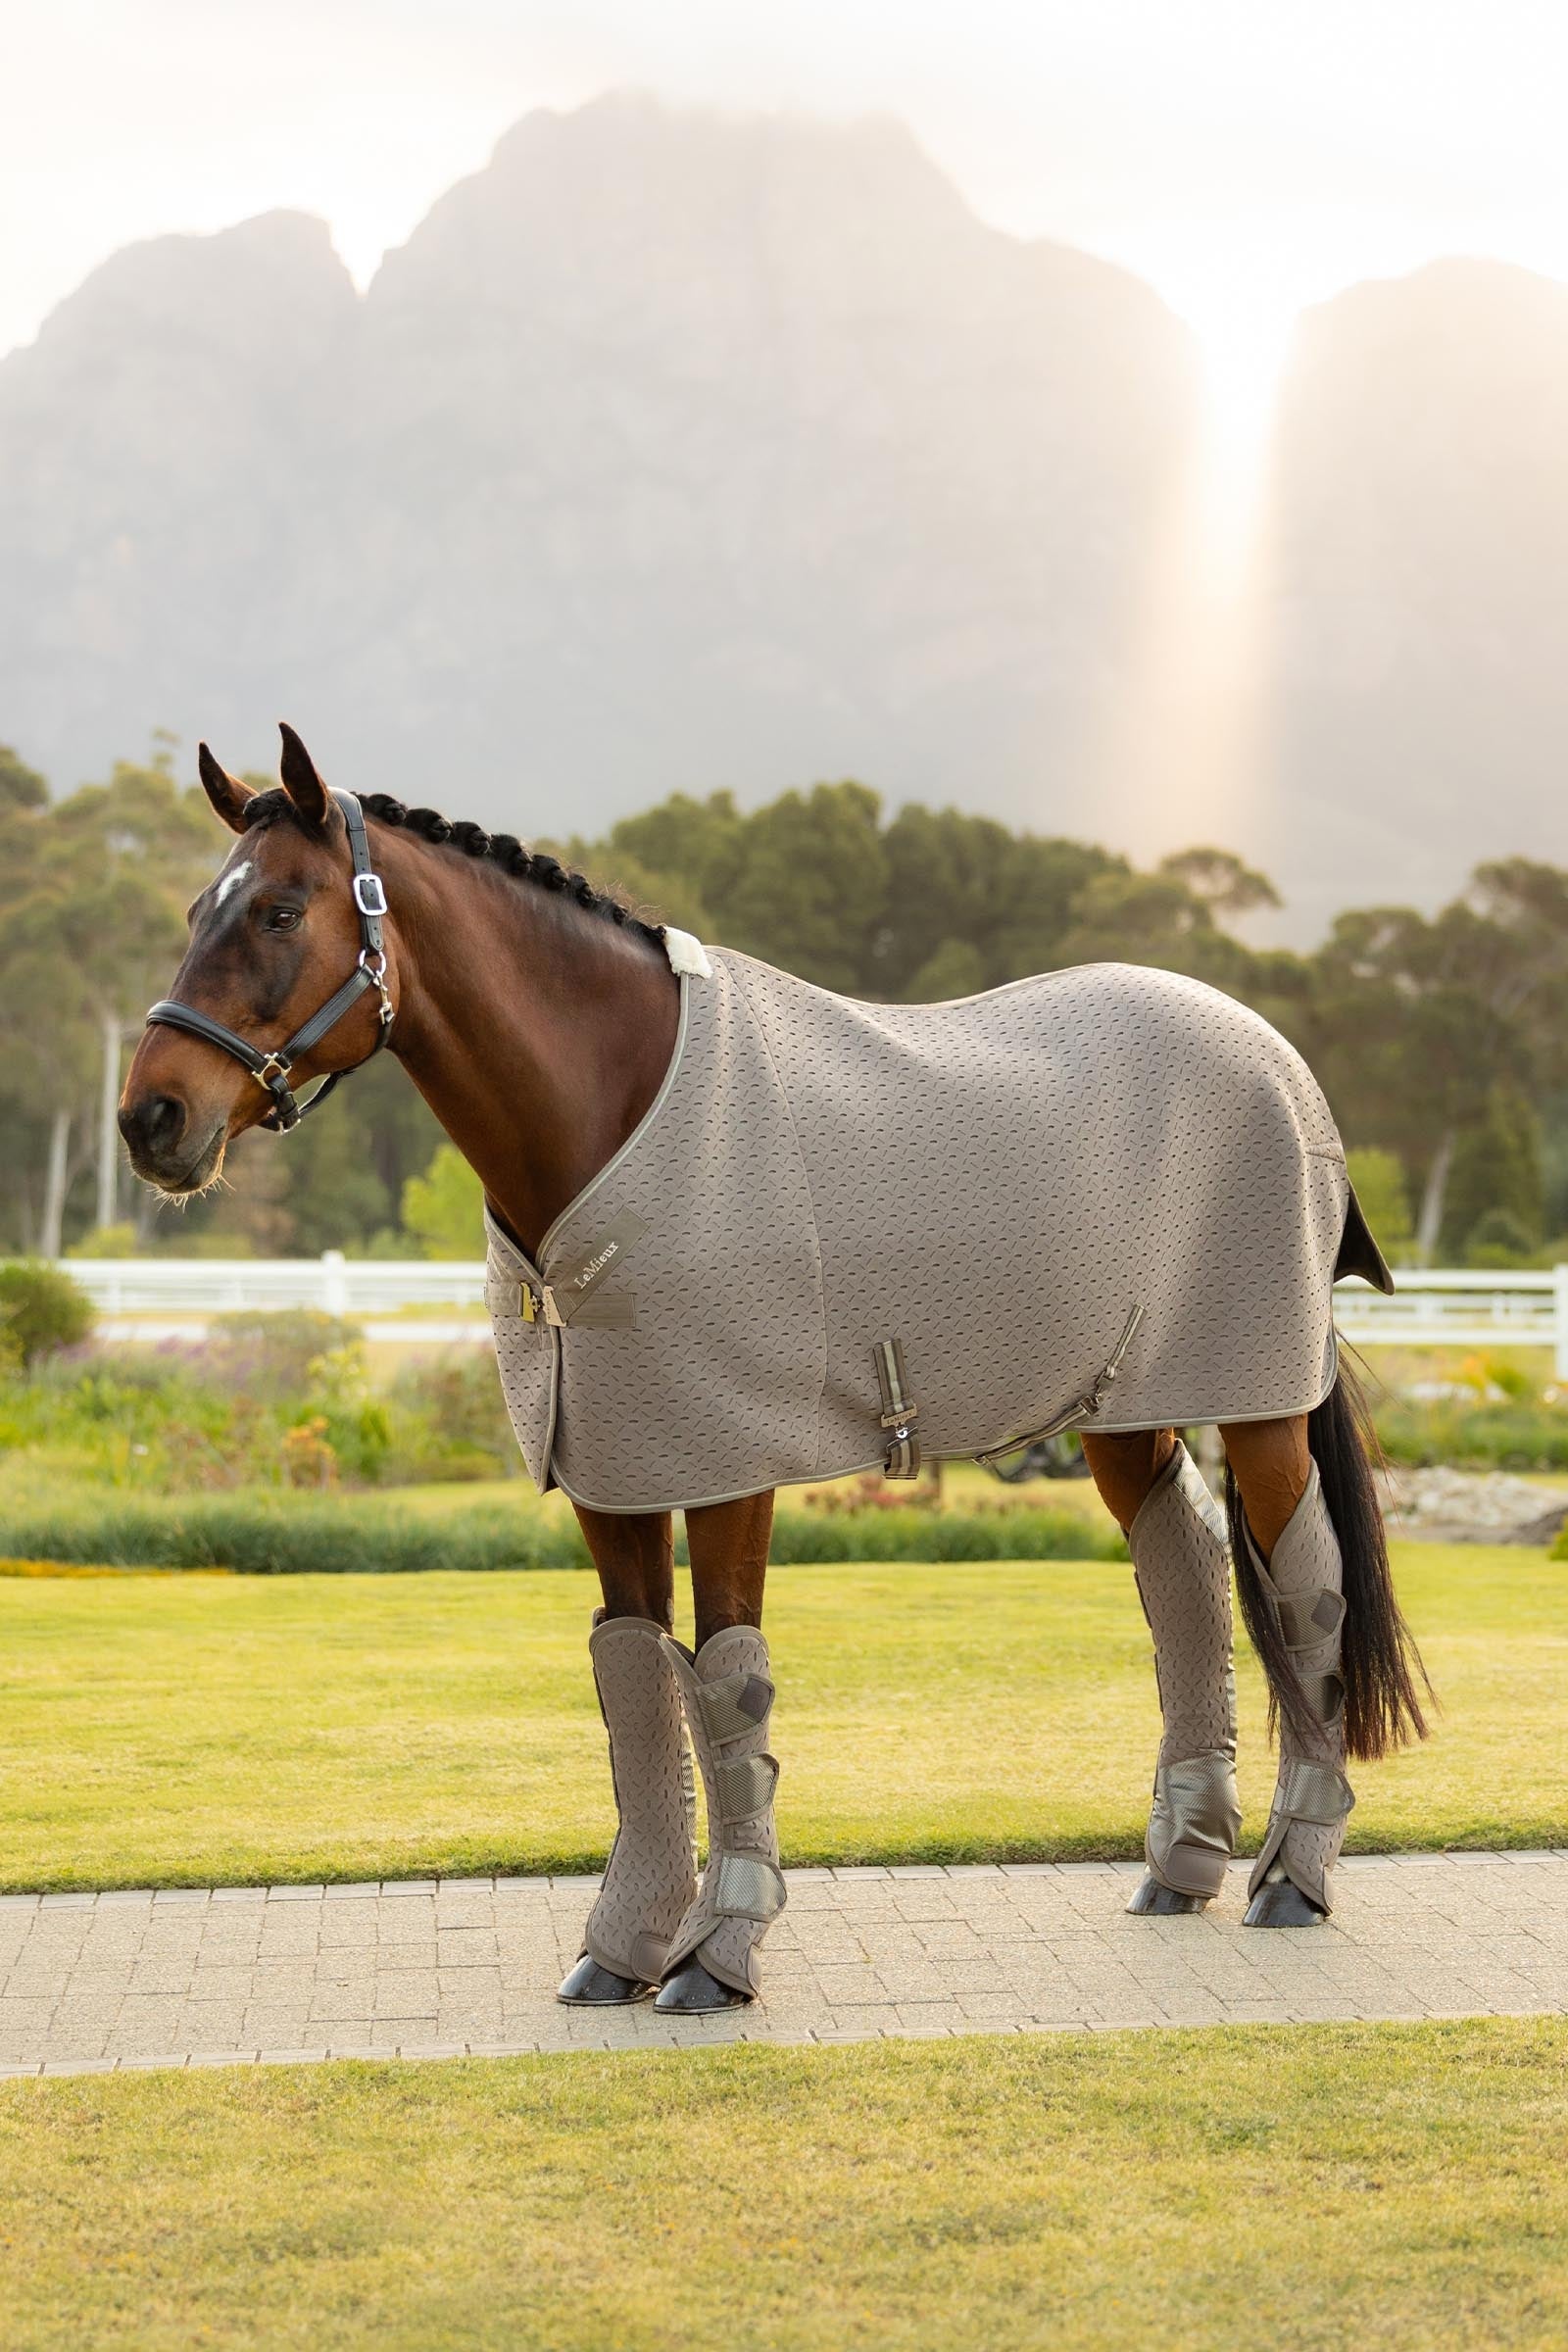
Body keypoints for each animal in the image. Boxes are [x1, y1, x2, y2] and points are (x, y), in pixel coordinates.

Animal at [119, 726, 1430, 2014]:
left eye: (280, 911)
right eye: (195, 906)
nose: (152, 1120)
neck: (618, 1115)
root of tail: (1273, 1057)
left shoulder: (725, 1463)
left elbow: (726, 1682)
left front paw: (718, 1955)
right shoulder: (617, 1470)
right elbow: (634, 1681)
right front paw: (622, 1950)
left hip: (1257, 1396)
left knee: (1306, 1587)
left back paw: (1292, 1875)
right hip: (1123, 1404)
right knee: (1186, 1567)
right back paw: (1183, 1863)